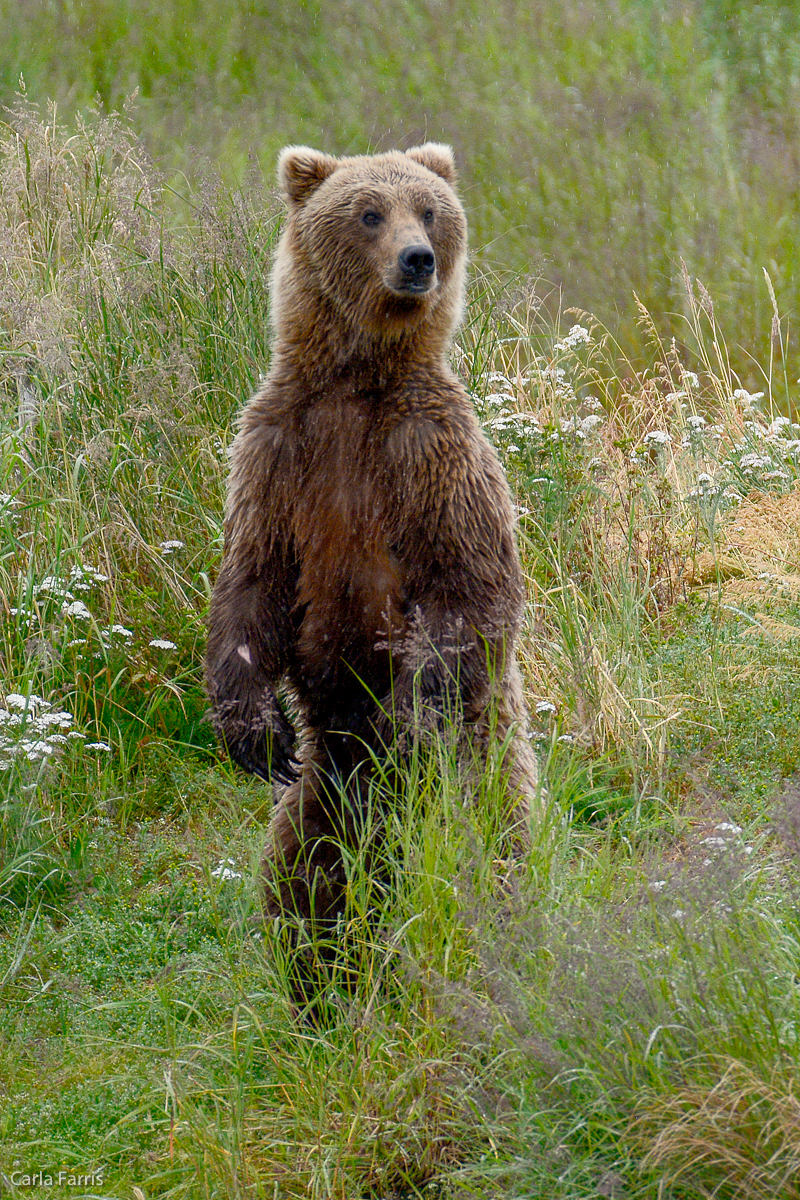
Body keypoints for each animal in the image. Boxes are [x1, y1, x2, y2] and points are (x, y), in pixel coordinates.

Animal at [206, 140, 542, 926]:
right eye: (368, 212)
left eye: (429, 209)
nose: (418, 259)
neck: (356, 383)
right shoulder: (278, 451)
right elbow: (252, 578)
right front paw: (252, 729)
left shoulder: (431, 453)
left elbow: (470, 585)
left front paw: (411, 719)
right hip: (323, 786)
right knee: (303, 884)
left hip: (481, 758)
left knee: (486, 844)